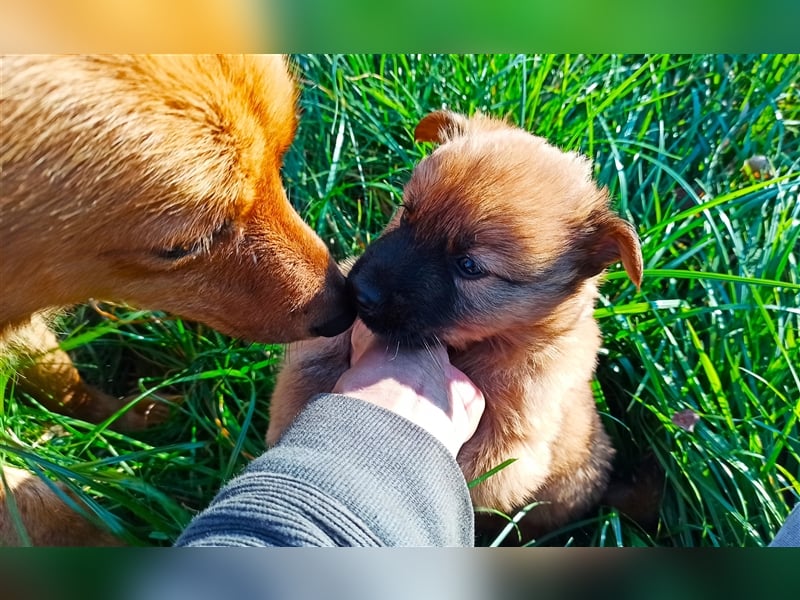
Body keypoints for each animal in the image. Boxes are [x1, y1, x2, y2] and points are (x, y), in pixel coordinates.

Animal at [0, 54, 356, 548]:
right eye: (181, 247)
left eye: (283, 152)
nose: (344, 307)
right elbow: (39, 506)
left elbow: (57, 373)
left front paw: (128, 416)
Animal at [268, 111, 644, 540]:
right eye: (407, 212)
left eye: (469, 266)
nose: (360, 293)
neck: (482, 346)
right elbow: (305, 375)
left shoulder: (509, 448)